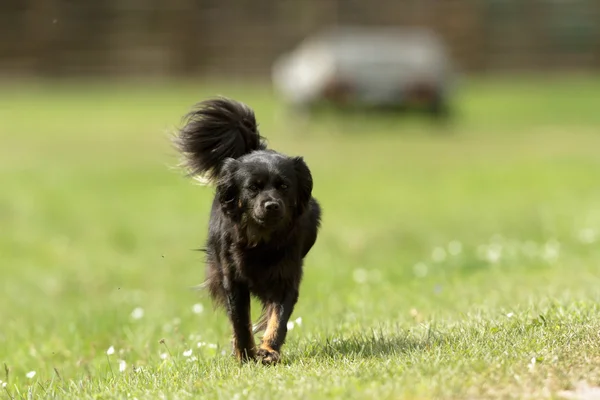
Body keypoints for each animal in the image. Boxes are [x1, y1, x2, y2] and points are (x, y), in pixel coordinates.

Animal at [173, 97, 322, 366]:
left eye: (284, 186)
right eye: (253, 188)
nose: (272, 205)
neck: (263, 241)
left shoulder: (286, 277)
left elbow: (278, 319)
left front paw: (269, 350)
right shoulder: (233, 279)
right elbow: (240, 321)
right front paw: (244, 354)